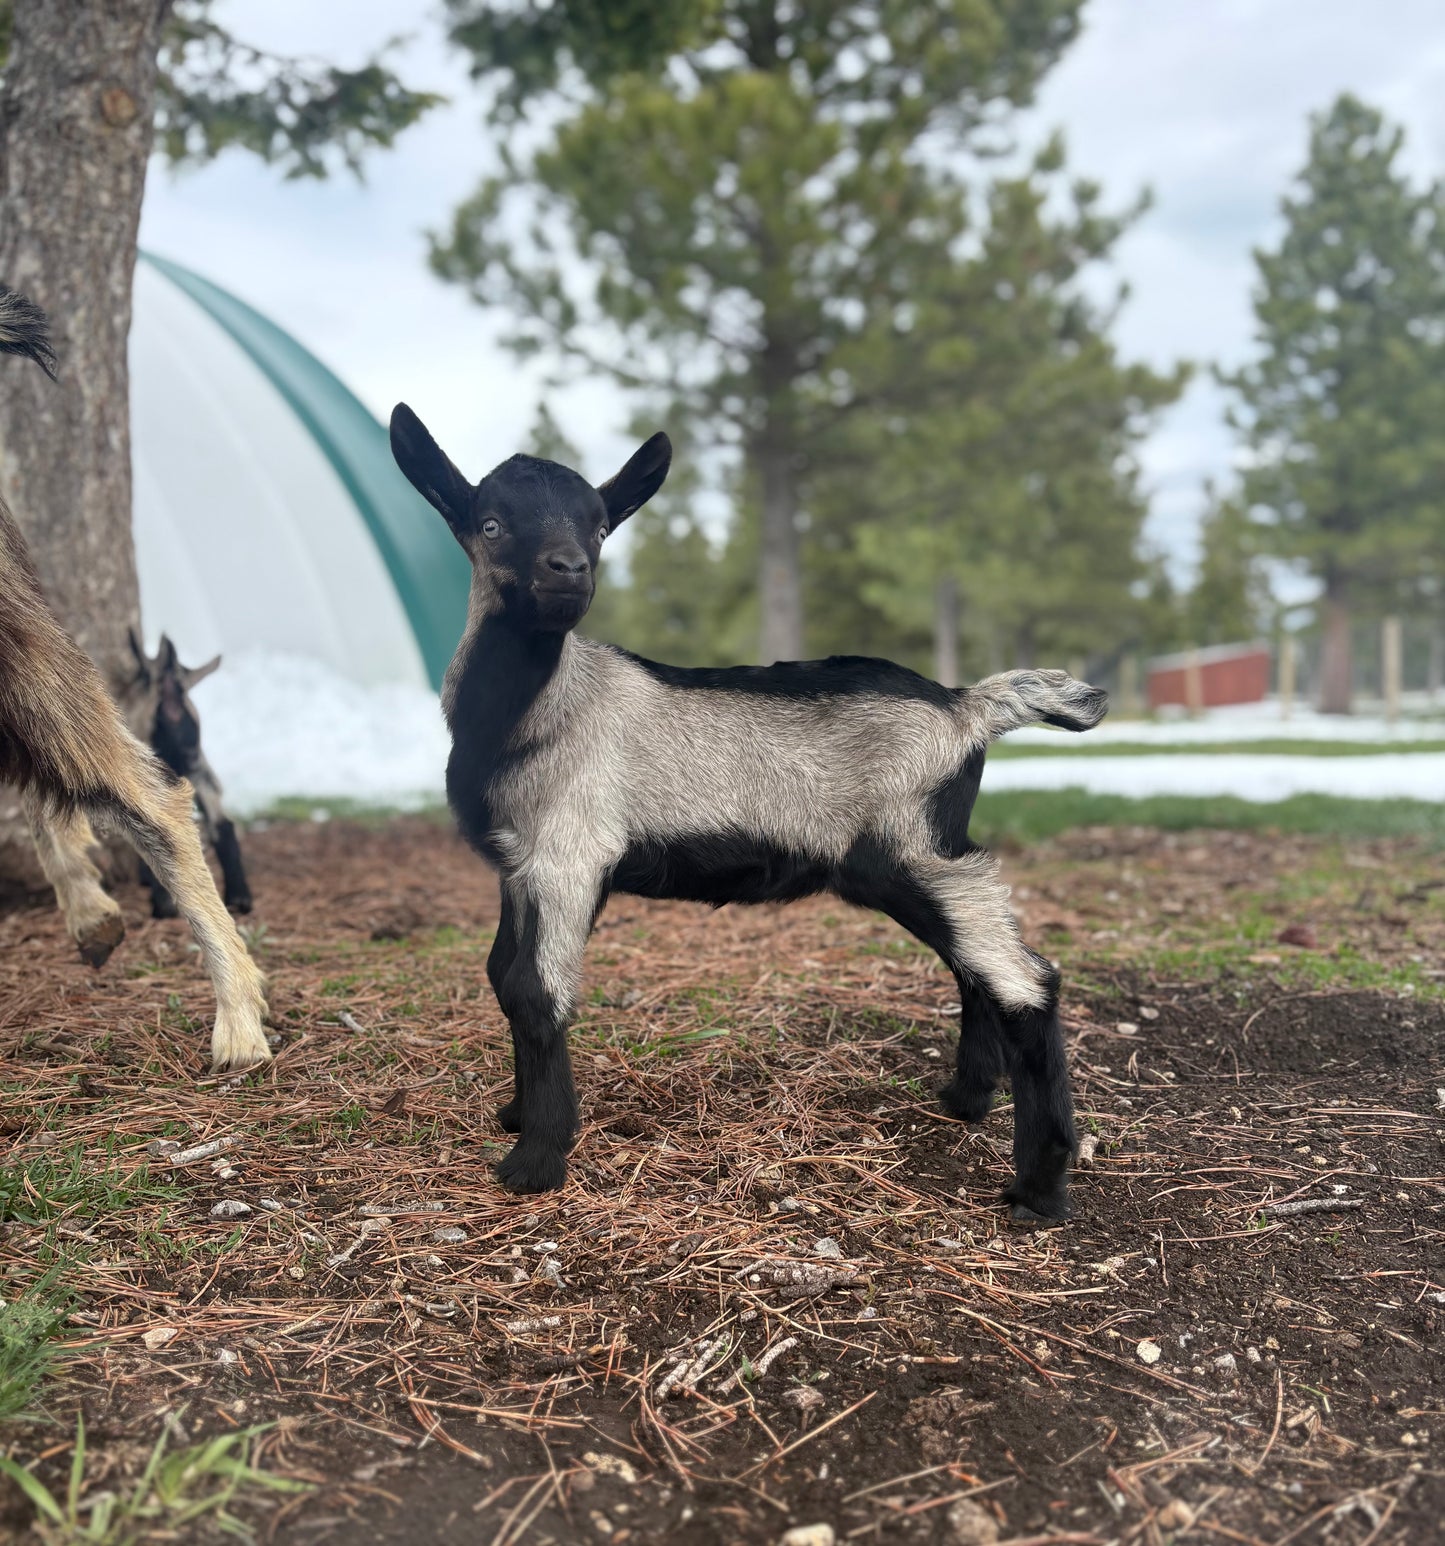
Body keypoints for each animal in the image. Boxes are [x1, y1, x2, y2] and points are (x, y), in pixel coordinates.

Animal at [390, 403, 1107, 1220]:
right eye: (490, 523)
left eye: (600, 527)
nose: (568, 570)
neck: (538, 708)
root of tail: (966, 707)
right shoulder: (516, 862)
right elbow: (499, 973)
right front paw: (515, 1116)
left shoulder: (570, 851)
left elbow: (533, 990)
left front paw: (535, 1159)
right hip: (917, 857)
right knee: (974, 964)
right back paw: (964, 1100)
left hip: (913, 846)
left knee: (1024, 977)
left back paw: (1037, 1188)